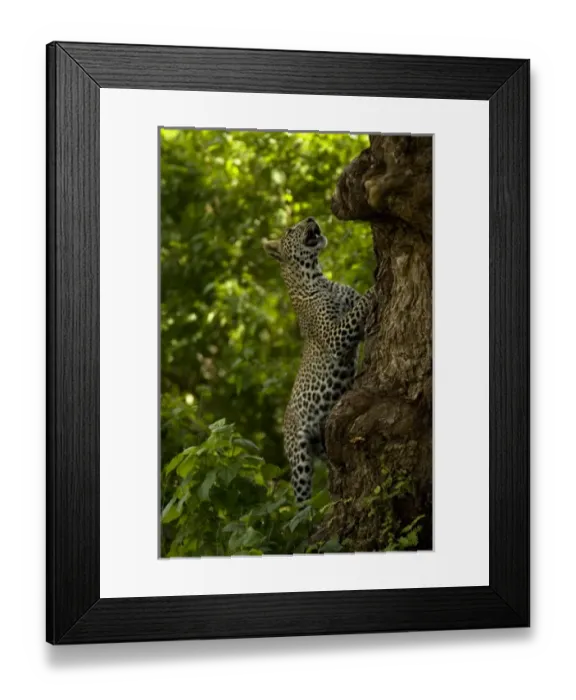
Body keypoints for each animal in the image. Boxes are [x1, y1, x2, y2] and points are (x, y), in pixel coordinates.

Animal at [262, 216, 375, 503]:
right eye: (290, 230)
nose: (311, 218)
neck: (317, 277)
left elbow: (356, 303)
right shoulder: (334, 335)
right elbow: (359, 308)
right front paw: (377, 286)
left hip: (327, 444)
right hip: (299, 456)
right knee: (301, 499)